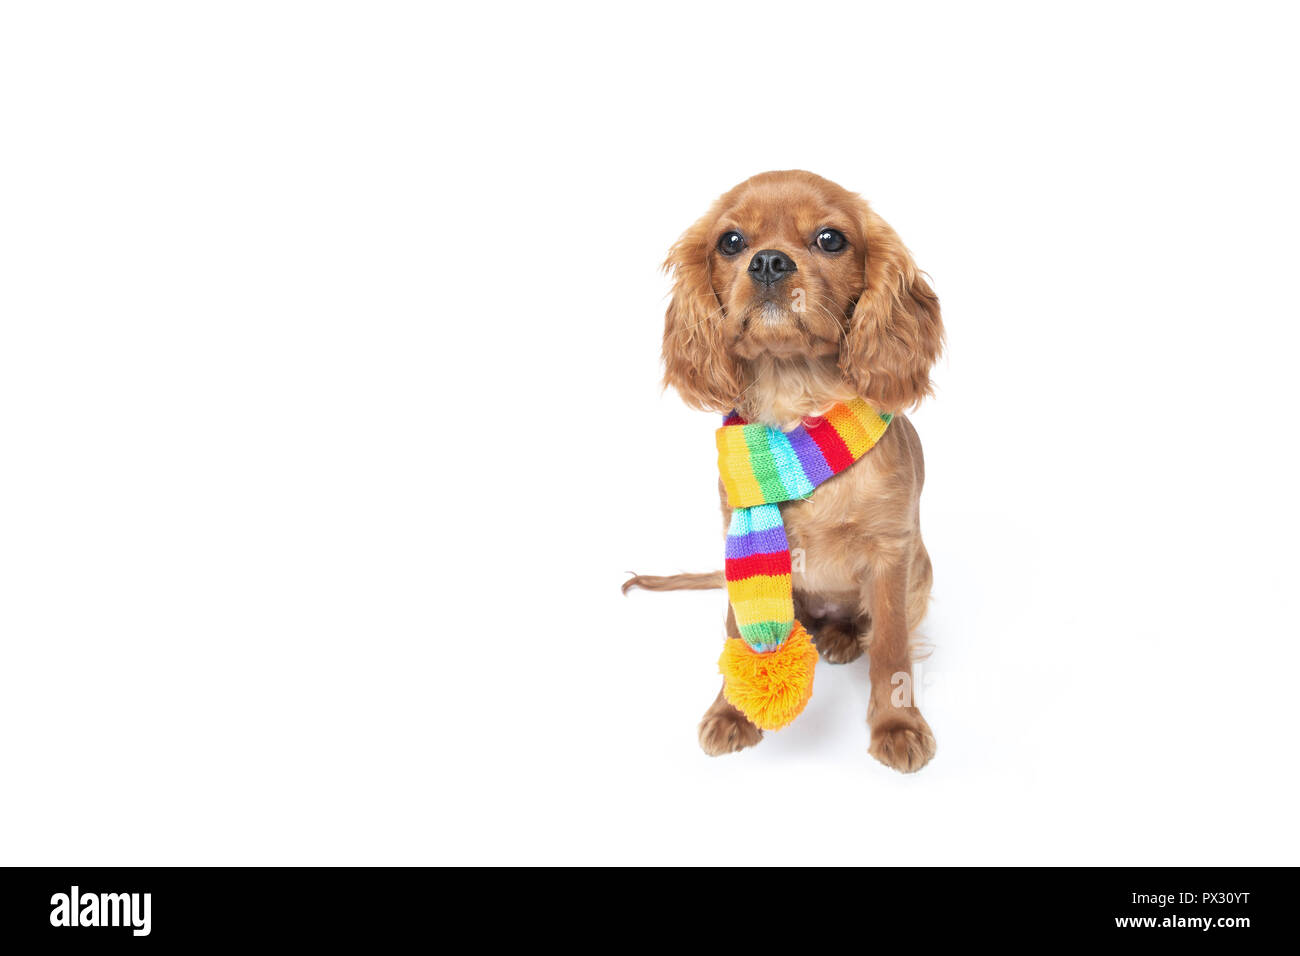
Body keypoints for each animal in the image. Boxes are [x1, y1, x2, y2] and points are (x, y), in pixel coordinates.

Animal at [629, 170, 946, 770]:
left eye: (830, 239)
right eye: (731, 241)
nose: (769, 262)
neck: (798, 406)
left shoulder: (892, 554)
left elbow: (891, 648)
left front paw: (897, 725)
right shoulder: (737, 535)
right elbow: (739, 631)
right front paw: (732, 712)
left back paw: (845, 636)